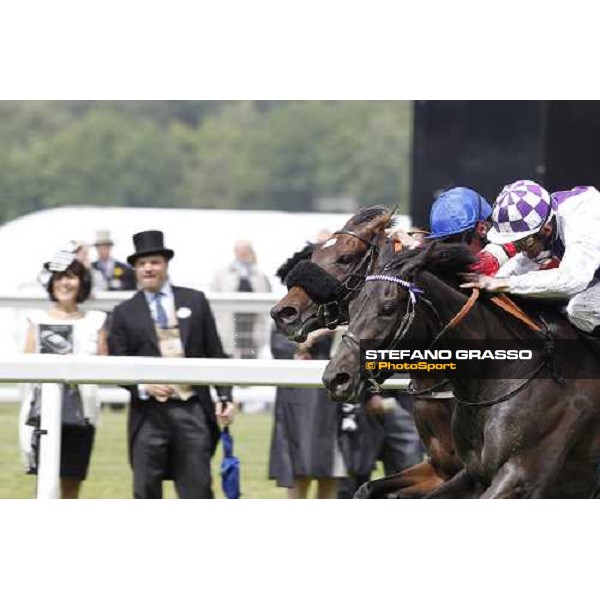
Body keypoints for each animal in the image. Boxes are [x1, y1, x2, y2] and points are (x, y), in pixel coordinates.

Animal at [326, 243, 600, 496]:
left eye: (387, 308)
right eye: (352, 307)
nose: (336, 378)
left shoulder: (522, 477)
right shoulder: (467, 473)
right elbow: (368, 489)